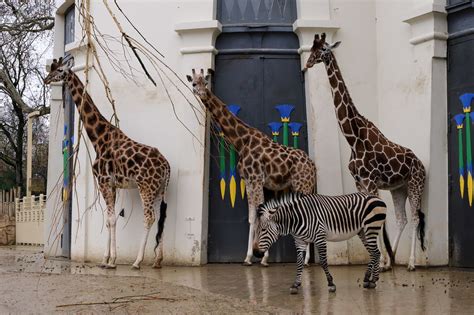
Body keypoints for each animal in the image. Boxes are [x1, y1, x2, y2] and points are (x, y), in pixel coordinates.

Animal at [44, 58, 170, 270]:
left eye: (59, 70)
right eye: (51, 70)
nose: (46, 79)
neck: (98, 138)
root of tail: (167, 167)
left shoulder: (103, 181)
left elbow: (110, 219)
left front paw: (110, 261)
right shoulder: (112, 184)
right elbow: (111, 220)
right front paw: (107, 259)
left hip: (146, 187)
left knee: (149, 217)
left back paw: (137, 261)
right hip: (160, 189)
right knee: (161, 217)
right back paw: (158, 261)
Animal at [187, 69, 316, 266]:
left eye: (205, 82)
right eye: (194, 83)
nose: (201, 92)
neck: (242, 141)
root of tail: (313, 166)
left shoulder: (256, 179)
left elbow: (260, 215)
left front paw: (261, 257)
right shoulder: (249, 180)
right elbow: (252, 217)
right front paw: (250, 257)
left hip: (303, 185)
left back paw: (307, 259)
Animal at [254, 191, 394, 296]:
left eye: (263, 230)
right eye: (254, 230)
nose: (255, 253)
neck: (297, 220)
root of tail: (377, 197)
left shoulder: (319, 238)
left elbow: (323, 262)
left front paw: (331, 284)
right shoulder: (300, 241)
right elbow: (299, 263)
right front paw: (296, 284)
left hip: (371, 228)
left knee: (375, 252)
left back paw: (370, 280)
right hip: (363, 231)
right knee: (375, 253)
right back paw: (370, 280)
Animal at [304, 34, 426, 272]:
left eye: (323, 49)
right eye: (312, 49)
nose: (308, 63)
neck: (353, 137)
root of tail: (422, 165)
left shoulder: (370, 181)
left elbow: (376, 217)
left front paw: (378, 260)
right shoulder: (359, 182)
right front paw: (380, 260)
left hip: (415, 185)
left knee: (415, 218)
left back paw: (411, 263)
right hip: (398, 188)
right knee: (401, 219)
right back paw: (391, 260)